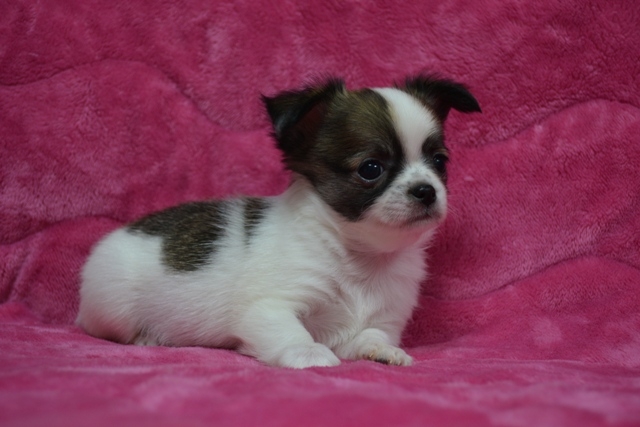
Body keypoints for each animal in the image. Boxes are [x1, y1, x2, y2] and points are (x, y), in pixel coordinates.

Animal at [76, 75, 480, 368]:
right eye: (371, 168)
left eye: (440, 162)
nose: (426, 190)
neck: (362, 257)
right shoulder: (269, 306)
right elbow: (289, 330)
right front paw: (310, 354)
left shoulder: (381, 319)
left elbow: (370, 337)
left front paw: (383, 352)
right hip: (113, 305)